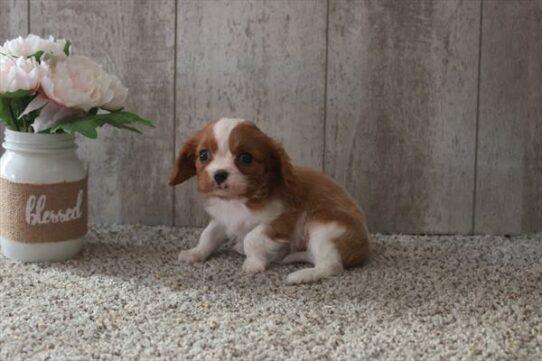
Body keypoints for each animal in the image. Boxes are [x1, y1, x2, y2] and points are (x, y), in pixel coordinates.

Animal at [170, 116, 372, 282]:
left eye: (245, 158)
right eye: (203, 155)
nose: (219, 175)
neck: (238, 200)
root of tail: (363, 251)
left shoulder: (284, 219)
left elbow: (252, 238)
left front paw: (253, 263)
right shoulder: (223, 218)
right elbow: (208, 235)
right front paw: (195, 253)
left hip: (324, 226)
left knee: (331, 265)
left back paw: (301, 275)